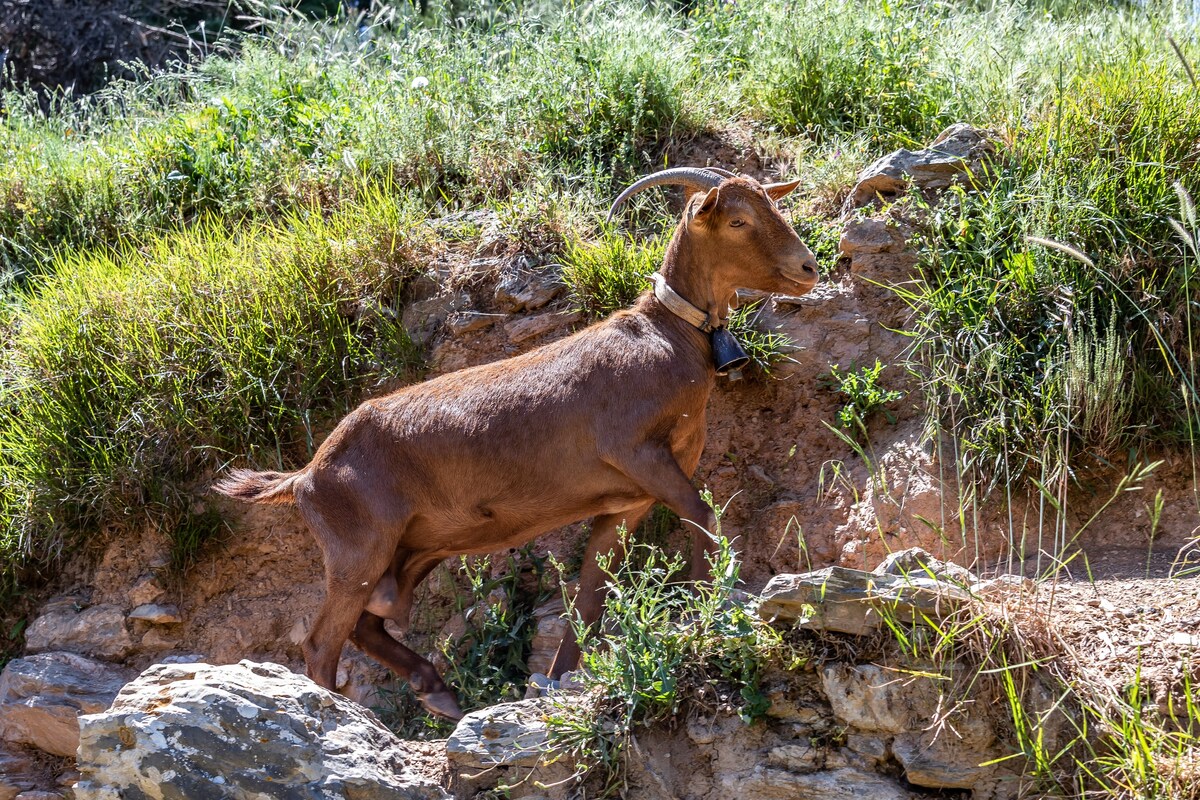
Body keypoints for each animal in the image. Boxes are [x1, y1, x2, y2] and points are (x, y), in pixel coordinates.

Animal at [213, 169, 816, 719]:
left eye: (772, 206)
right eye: (738, 221)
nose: (807, 268)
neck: (666, 337)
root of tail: (307, 474)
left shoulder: (627, 501)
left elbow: (591, 590)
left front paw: (562, 678)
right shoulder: (638, 454)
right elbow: (699, 514)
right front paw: (703, 604)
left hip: (407, 551)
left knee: (366, 624)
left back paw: (438, 691)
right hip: (358, 548)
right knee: (322, 642)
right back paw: (338, 712)